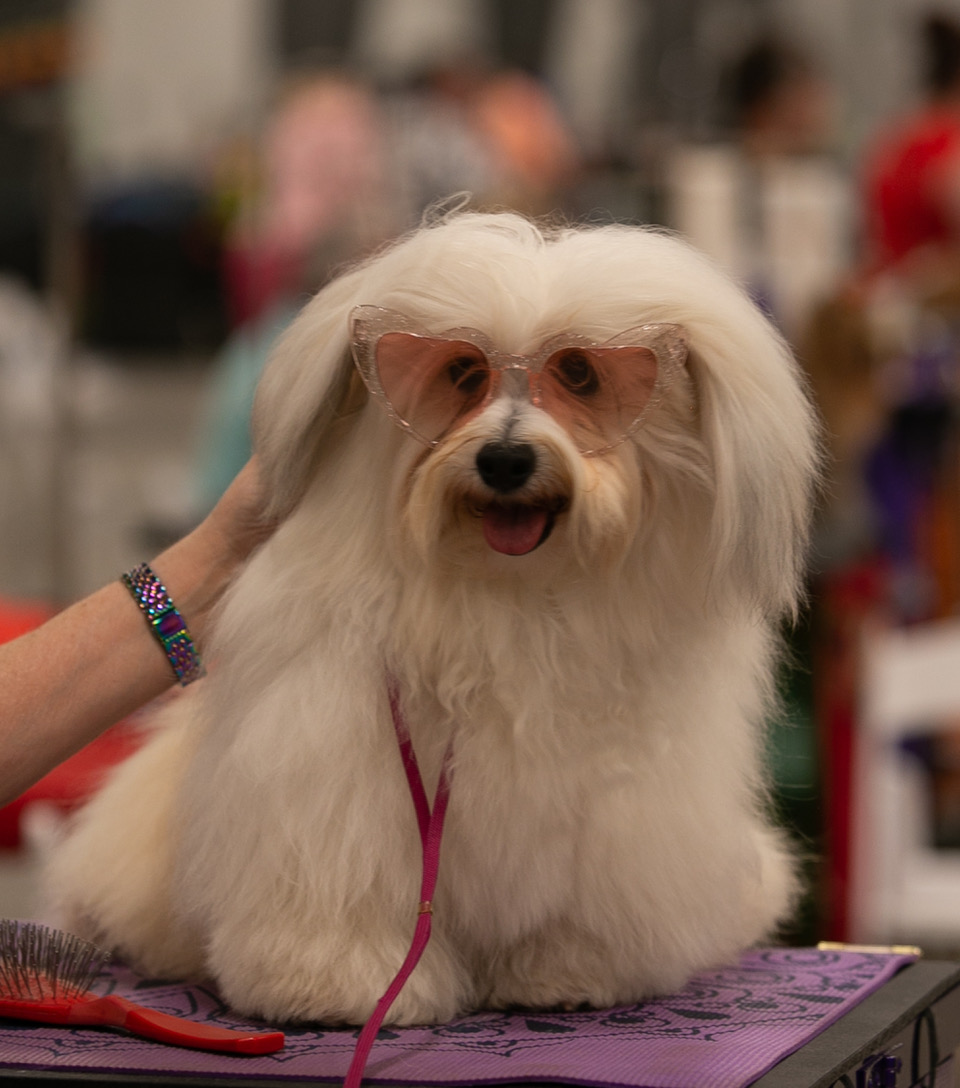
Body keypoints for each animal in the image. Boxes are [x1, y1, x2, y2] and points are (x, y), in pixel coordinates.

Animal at [47, 210, 820, 1027]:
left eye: (581, 373)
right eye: (460, 372)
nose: (506, 460)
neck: (512, 593)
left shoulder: (615, 801)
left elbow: (578, 903)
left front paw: (569, 970)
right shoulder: (335, 764)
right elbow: (343, 886)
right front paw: (338, 981)